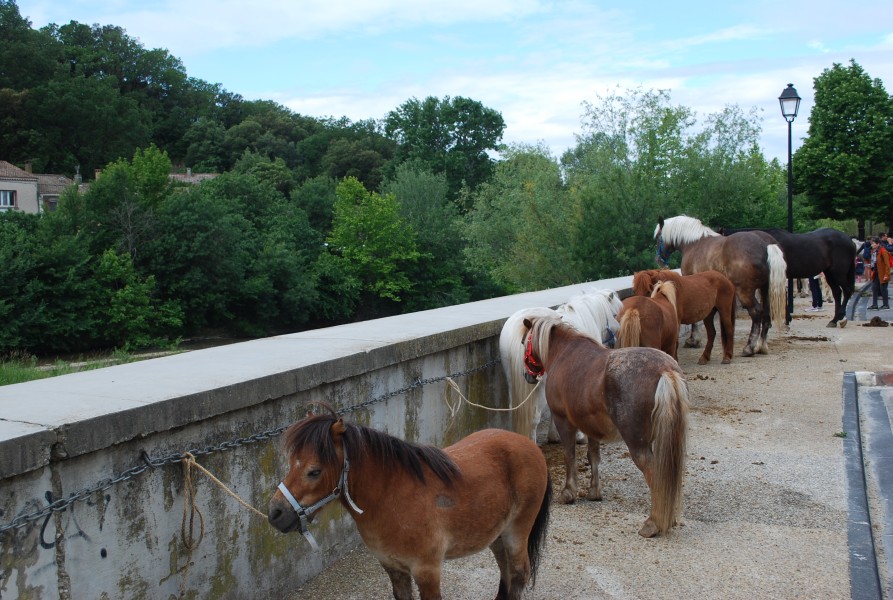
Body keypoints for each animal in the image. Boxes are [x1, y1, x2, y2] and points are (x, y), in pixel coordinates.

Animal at [268, 408, 552, 600]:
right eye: (291, 463)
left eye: (314, 471)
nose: (275, 513)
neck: (392, 498)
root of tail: (530, 446)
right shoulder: (394, 569)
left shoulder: (427, 572)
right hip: (496, 535)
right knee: (505, 570)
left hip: (517, 531)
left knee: (519, 573)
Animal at [520, 316, 688, 536]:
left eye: (523, 342)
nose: (527, 376)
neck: (564, 354)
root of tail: (665, 370)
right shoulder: (591, 426)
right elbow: (593, 456)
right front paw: (594, 492)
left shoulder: (563, 420)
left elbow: (569, 455)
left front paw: (568, 492)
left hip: (638, 443)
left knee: (655, 474)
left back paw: (653, 523)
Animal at [652, 216, 784, 356]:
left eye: (658, 237)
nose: (659, 260)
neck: (694, 244)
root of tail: (765, 245)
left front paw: (693, 340)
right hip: (765, 289)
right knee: (766, 314)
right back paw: (761, 346)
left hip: (745, 292)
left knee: (756, 312)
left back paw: (750, 347)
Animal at [716, 227, 856, 328]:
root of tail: (850, 241)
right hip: (830, 274)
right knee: (837, 293)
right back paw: (835, 319)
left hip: (838, 273)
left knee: (846, 291)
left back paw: (839, 318)